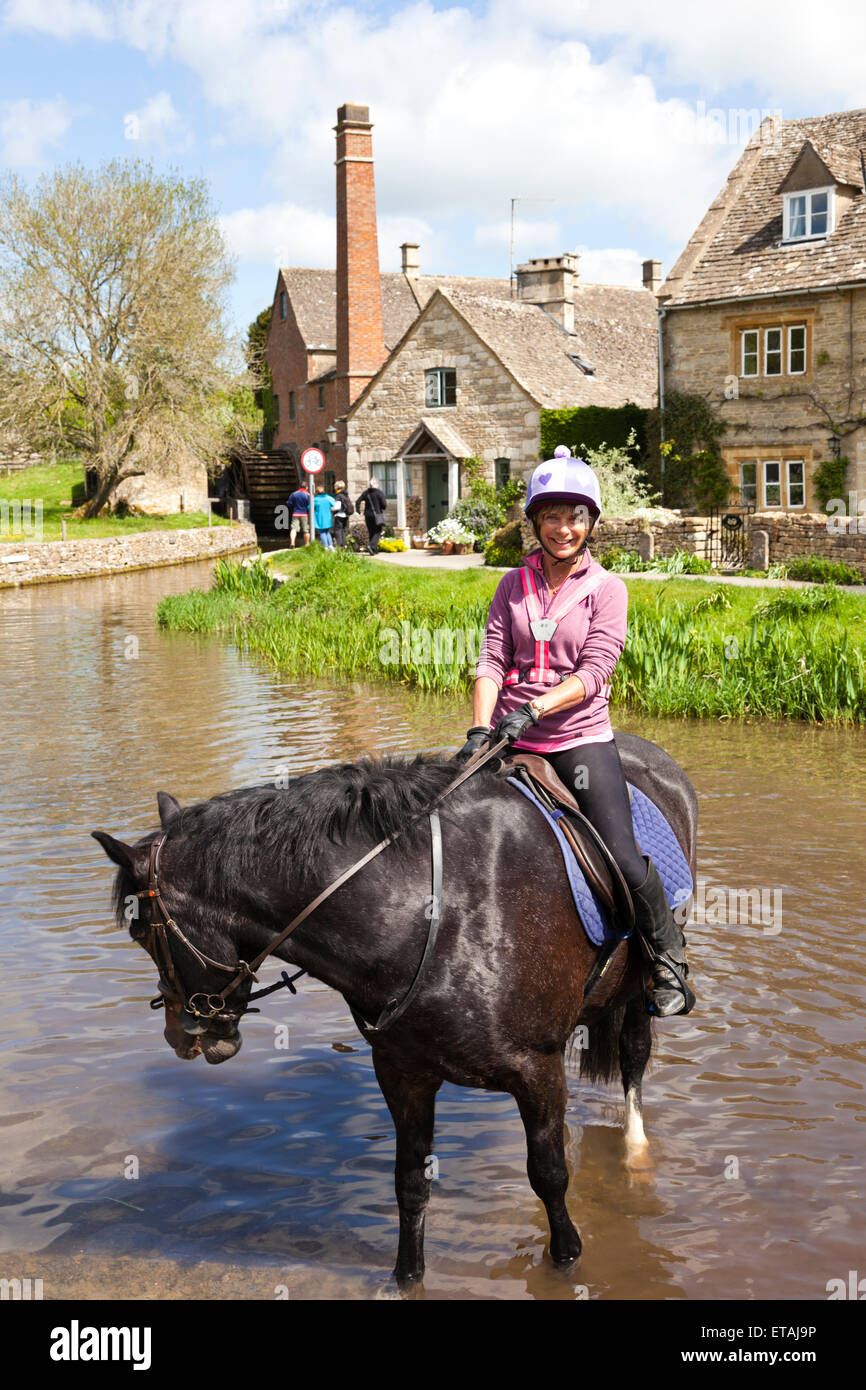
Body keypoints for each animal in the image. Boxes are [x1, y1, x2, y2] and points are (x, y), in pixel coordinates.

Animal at [93, 733, 697, 1284]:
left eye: (141, 932)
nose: (179, 1036)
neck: (432, 912)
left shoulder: (538, 1070)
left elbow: (549, 1176)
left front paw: (568, 1262)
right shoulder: (402, 1072)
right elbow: (410, 1184)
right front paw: (407, 1276)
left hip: (636, 990)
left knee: (635, 1056)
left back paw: (637, 1152)